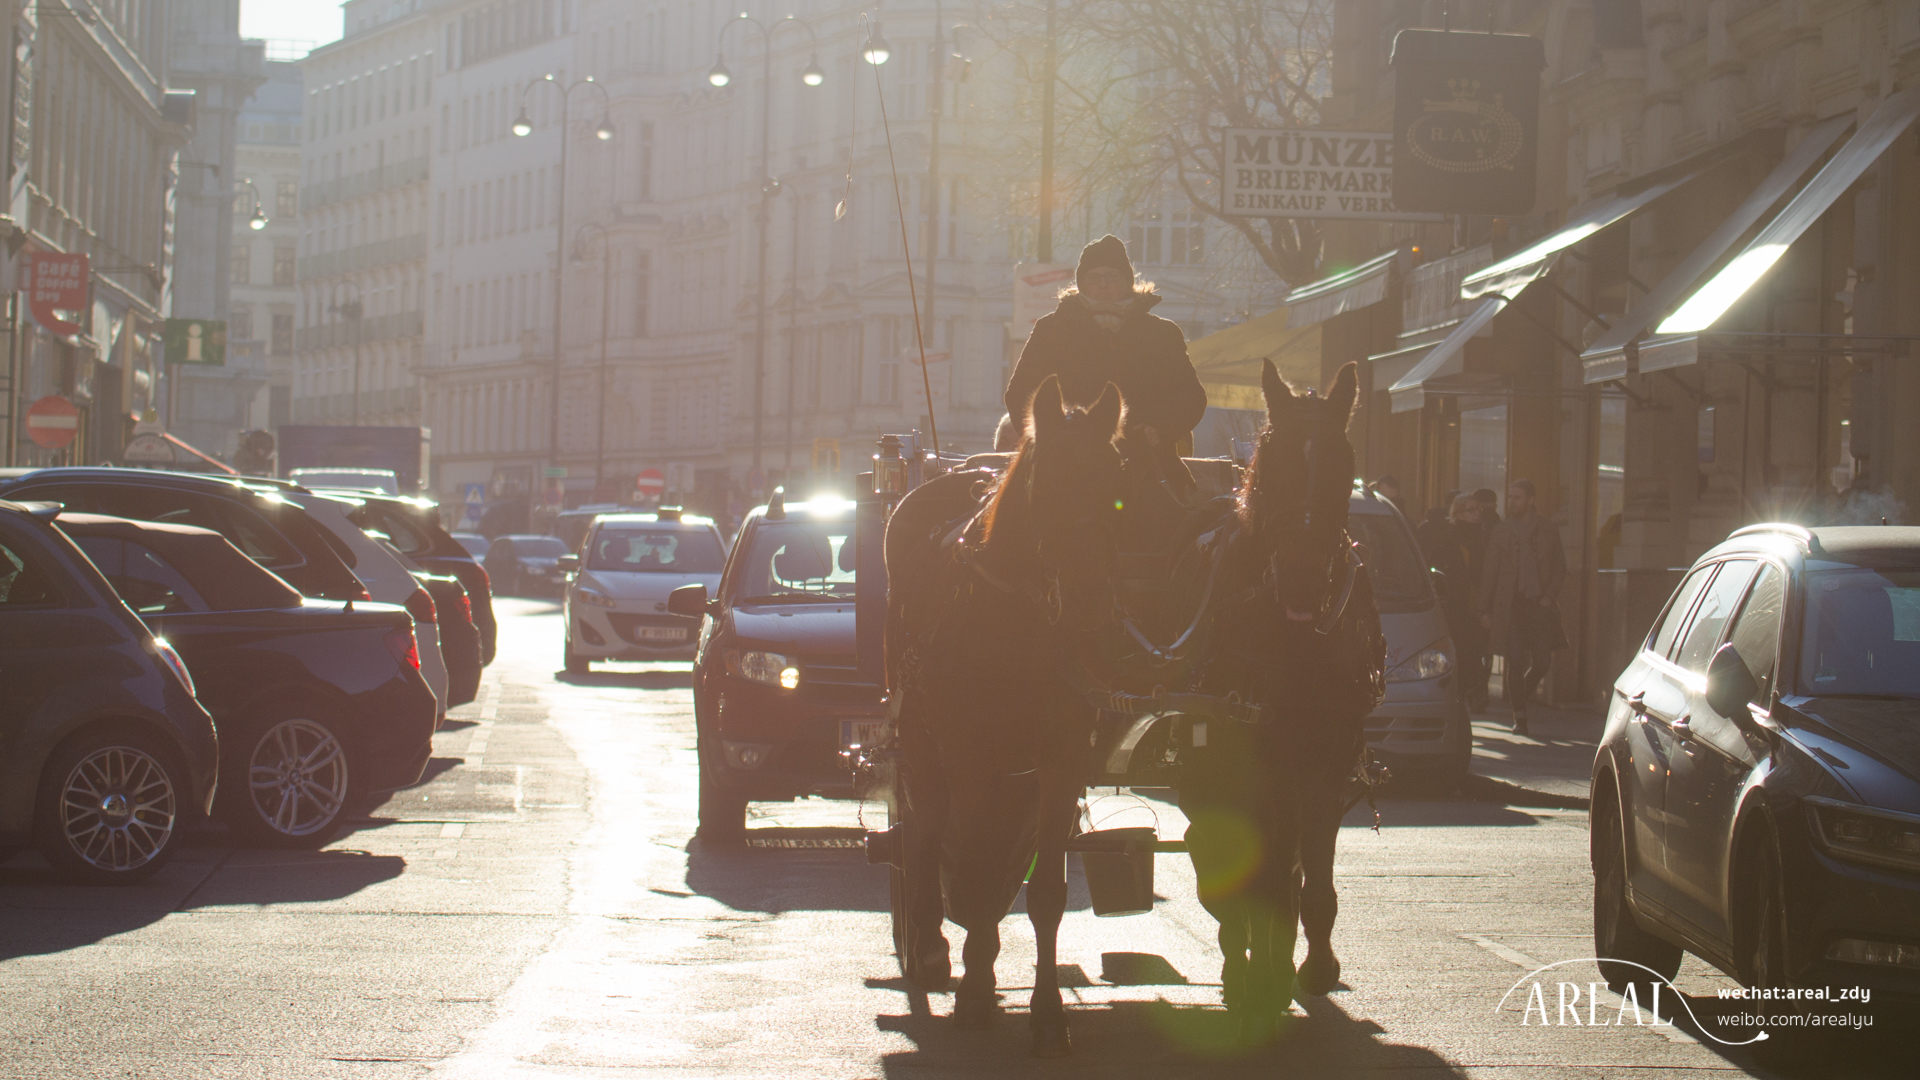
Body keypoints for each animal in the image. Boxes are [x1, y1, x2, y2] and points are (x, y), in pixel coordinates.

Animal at [879, 376, 1128, 1053]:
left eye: (1116, 483)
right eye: (1048, 482)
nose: (1093, 603)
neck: (1016, 620)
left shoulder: (1060, 762)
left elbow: (1043, 892)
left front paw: (1046, 1013)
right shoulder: (972, 757)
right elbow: (973, 867)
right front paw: (973, 988)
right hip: (921, 740)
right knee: (926, 831)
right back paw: (933, 949)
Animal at [1175, 361, 1390, 1045]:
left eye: (1345, 462)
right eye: (1271, 461)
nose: (1299, 578)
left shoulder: (1325, 757)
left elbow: (1310, 876)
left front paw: (1313, 966)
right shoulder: (1256, 759)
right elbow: (1262, 875)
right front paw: (1260, 980)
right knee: (1227, 863)